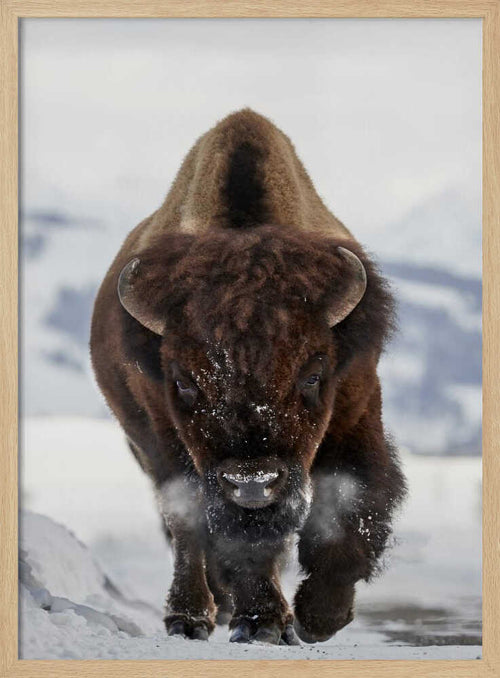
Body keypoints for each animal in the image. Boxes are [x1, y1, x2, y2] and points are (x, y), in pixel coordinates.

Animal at [90, 109, 406, 645]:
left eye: (313, 373)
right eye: (183, 381)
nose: (253, 483)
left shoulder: (356, 410)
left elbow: (352, 502)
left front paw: (318, 618)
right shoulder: (169, 439)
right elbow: (221, 533)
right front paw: (262, 622)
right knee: (187, 529)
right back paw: (192, 617)